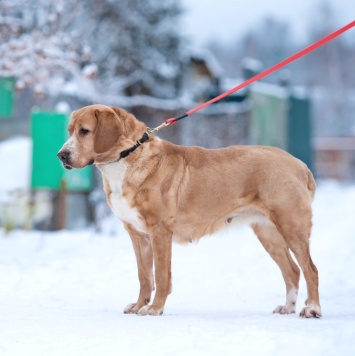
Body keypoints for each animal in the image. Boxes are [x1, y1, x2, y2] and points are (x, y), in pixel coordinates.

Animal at [57, 104, 322, 318]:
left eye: (84, 131)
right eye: (69, 131)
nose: (61, 155)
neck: (126, 157)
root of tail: (299, 165)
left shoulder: (160, 232)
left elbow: (161, 276)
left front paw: (155, 308)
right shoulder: (138, 235)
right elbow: (145, 276)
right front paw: (139, 305)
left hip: (291, 227)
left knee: (310, 269)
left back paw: (312, 308)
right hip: (268, 233)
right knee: (292, 271)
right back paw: (288, 307)